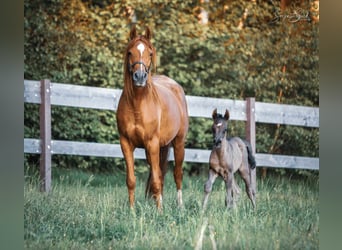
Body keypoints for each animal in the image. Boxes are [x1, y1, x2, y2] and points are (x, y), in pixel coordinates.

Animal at [116, 25, 188, 209]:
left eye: (149, 53)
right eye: (130, 52)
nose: (139, 77)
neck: (138, 105)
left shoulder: (152, 143)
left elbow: (156, 180)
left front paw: (160, 211)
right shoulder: (126, 144)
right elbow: (131, 180)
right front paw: (132, 210)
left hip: (178, 143)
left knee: (177, 174)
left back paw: (180, 206)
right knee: (160, 174)